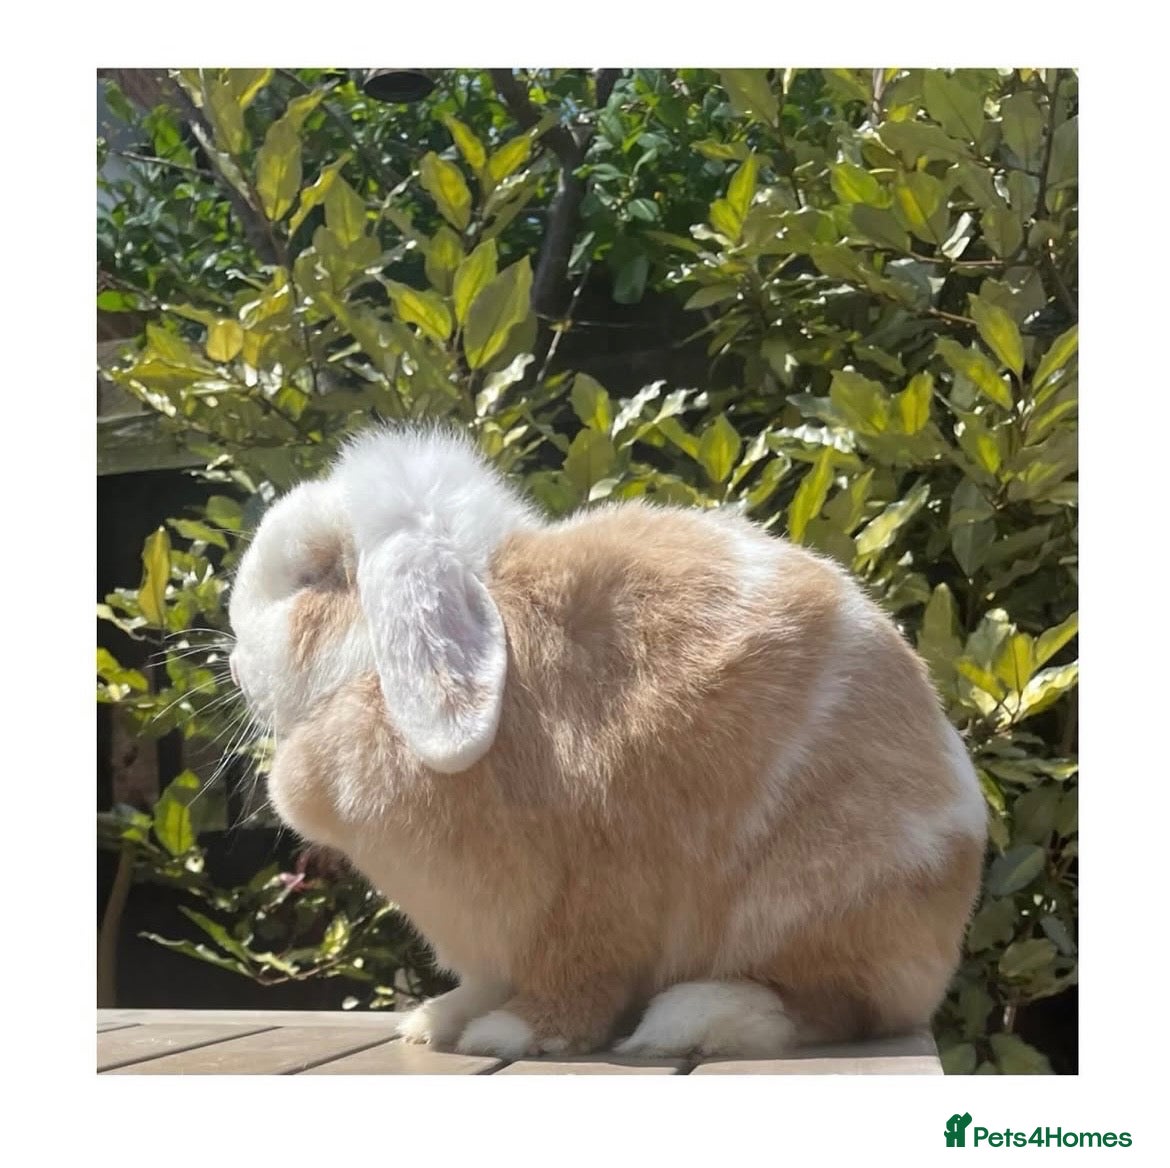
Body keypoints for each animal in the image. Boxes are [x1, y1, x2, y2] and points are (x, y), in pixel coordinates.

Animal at [226, 424, 987, 1060]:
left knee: (829, 1008)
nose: (233, 663)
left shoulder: (595, 890)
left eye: (318, 574)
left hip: (819, 902)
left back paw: (694, 1018)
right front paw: (440, 1020)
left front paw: (512, 1033)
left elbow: (576, 977)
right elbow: (489, 980)